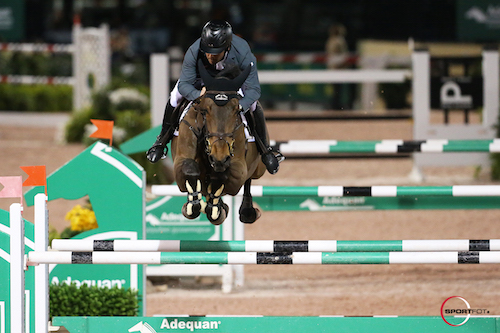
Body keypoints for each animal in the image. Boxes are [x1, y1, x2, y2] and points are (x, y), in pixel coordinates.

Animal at [170, 61, 268, 224]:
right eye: (204, 111)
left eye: (237, 111)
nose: (220, 157)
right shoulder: (181, 160)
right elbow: (189, 169)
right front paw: (192, 205)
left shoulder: (239, 171)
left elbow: (222, 177)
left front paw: (216, 209)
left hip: (259, 169)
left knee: (250, 179)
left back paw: (246, 211)